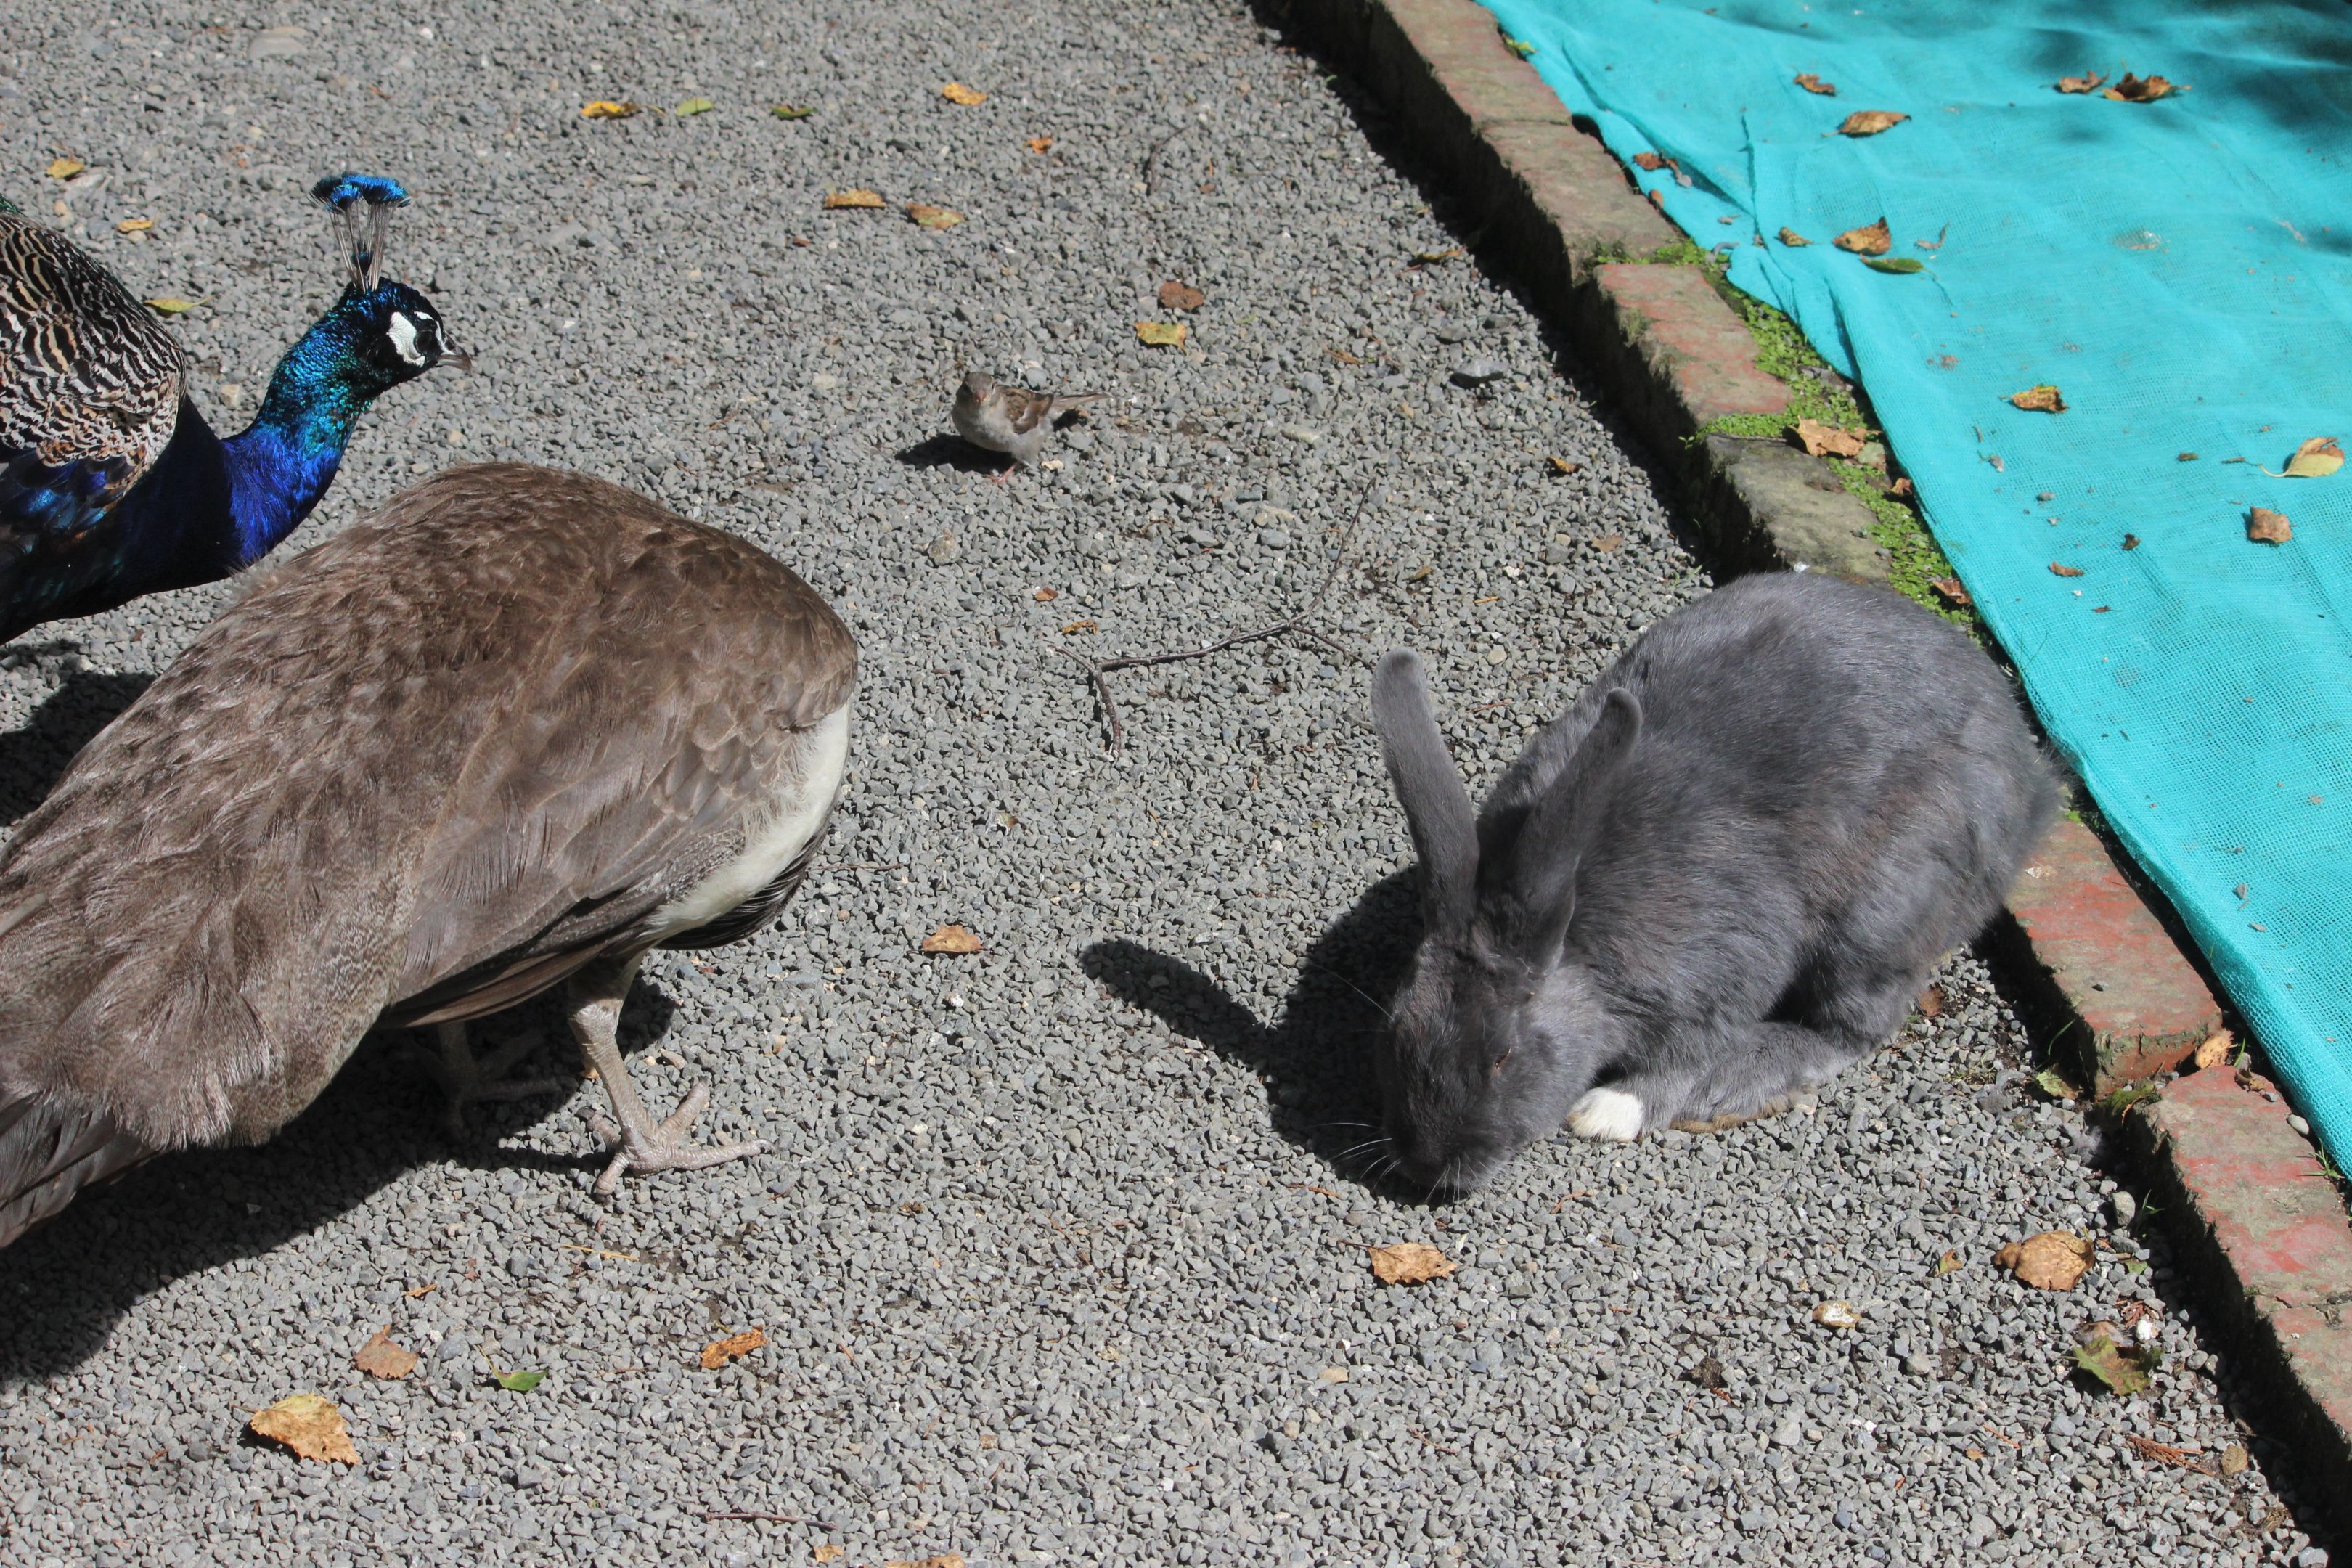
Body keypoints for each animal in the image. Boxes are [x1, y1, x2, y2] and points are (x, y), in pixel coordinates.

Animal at [1365, 570, 2058, 1195]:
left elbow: (1687, 1060)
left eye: (1503, 1056)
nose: (1427, 1167)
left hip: (1880, 917)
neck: (1579, 950)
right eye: (1396, 1025)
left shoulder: (1726, 976)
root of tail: (2032, 790)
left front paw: (1609, 1111)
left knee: (1848, 1030)